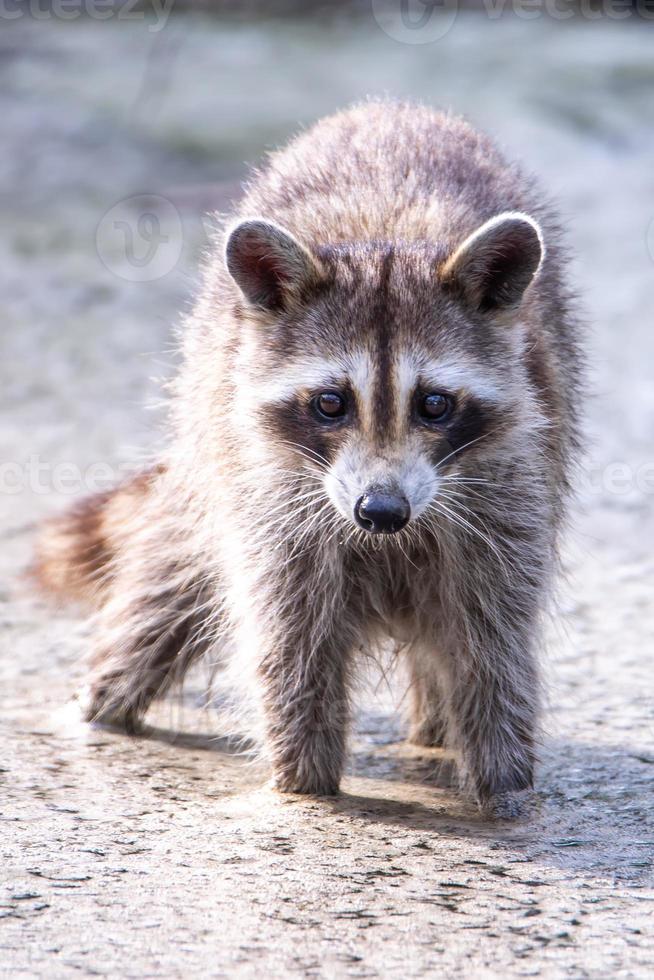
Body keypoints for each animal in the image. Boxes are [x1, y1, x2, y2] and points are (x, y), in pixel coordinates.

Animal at [34, 103, 584, 816]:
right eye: (330, 403)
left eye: (434, 404)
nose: (382, 510)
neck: (385, 241)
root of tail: (390, 107)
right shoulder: (271, 498)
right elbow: (290, 636)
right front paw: (302, 778)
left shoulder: (511, 488)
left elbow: (493, 643)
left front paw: (506, 785)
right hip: (207, 435)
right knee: (174, 573)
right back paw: (106, 698)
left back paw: (435, 731)